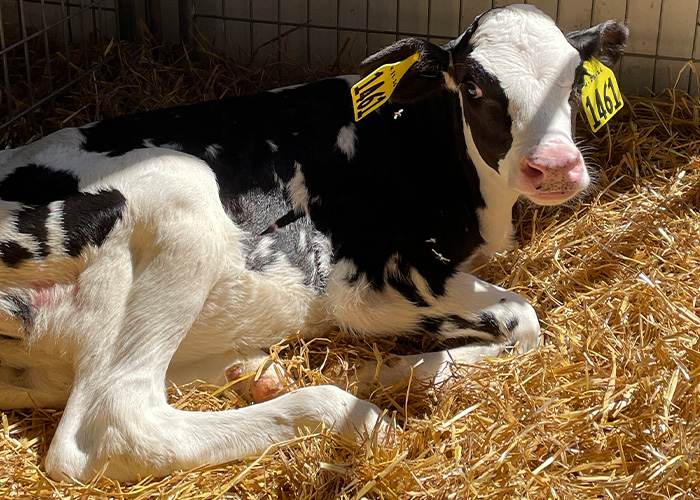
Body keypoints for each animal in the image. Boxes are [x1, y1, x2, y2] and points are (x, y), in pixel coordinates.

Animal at [0, 5, 627, 482]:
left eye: (573, 80)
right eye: (473, 86)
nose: (556, 168)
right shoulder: (371, 277)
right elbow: (524, 321)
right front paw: (385, 371)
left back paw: (256, 373)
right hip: (181, 191)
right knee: (113, 431)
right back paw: (346, 411)